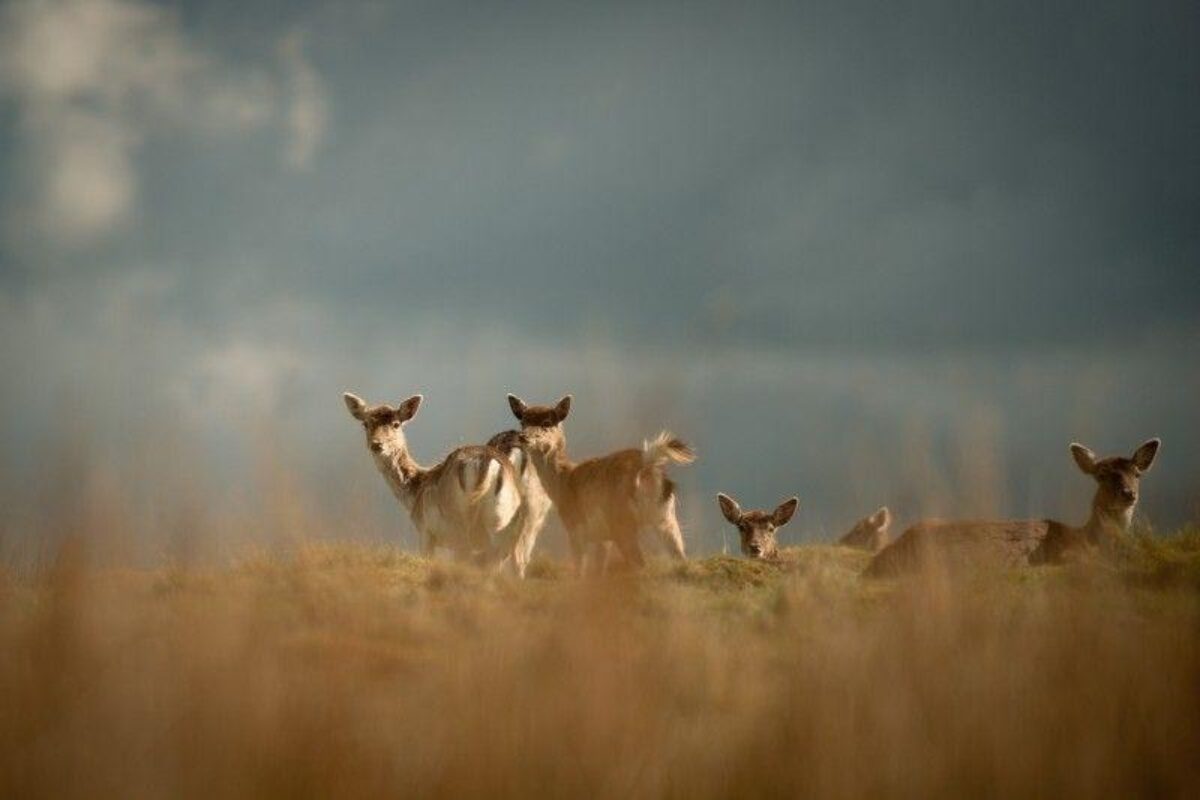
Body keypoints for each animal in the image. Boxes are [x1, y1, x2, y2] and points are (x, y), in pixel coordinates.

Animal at [506, 393, 696, 568]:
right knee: (680, 558)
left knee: (640, 562)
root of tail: (646, 463)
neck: (563, 482)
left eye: (546, 422)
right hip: (666, 517)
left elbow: (579, 572)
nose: (522, 437)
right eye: (523, 421)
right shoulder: (602, 539)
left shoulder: (575, 527)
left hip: (623, 521)